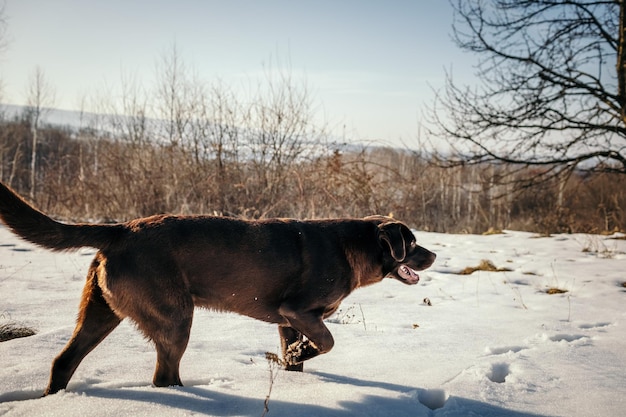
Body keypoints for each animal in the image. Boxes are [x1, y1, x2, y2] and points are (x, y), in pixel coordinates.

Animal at [0, 181, 434, 394]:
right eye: (411, 243)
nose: (432, 256)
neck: (350, 248)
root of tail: (121, 229)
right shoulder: (299, 311)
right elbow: (326, 342)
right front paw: (302, 353)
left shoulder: (287, 320)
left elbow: (296, 354)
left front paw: (292, 366)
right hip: (175, 317)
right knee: (164, 375)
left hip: (100, 312)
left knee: (63, 361)